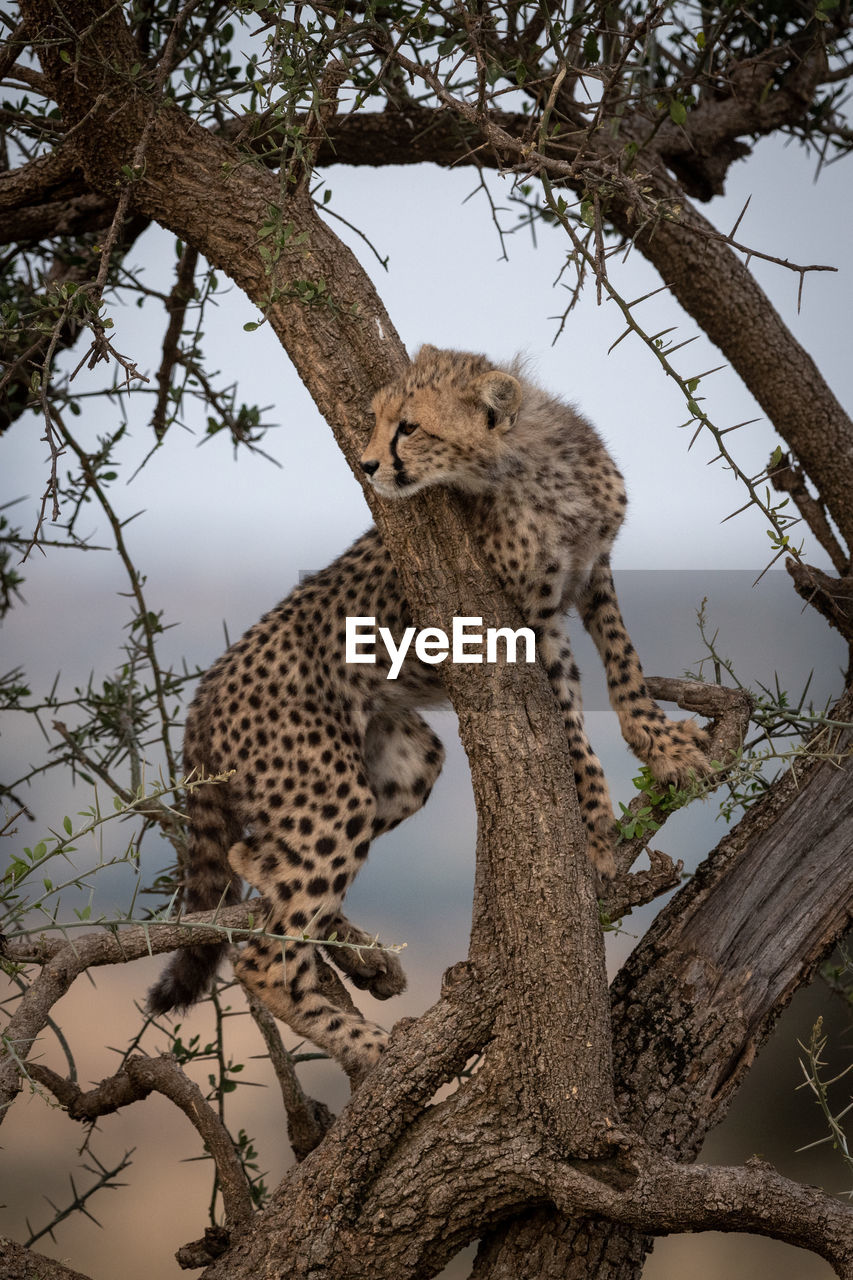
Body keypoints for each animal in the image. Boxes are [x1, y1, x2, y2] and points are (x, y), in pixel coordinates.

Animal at [149, 345, 706, 1075]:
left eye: (408, 426)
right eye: (378, 419)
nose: (365, 464)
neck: (528, 462)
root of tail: (207, 687)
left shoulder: (595, 570)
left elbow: (624, 664)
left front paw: (660, 745)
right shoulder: (527, 620)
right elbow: (569, 724)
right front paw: (596, 829)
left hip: (403, 765)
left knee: (255, 860)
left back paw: (365, 960)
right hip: (330, 796)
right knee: (267, 957)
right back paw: (378, 1049)